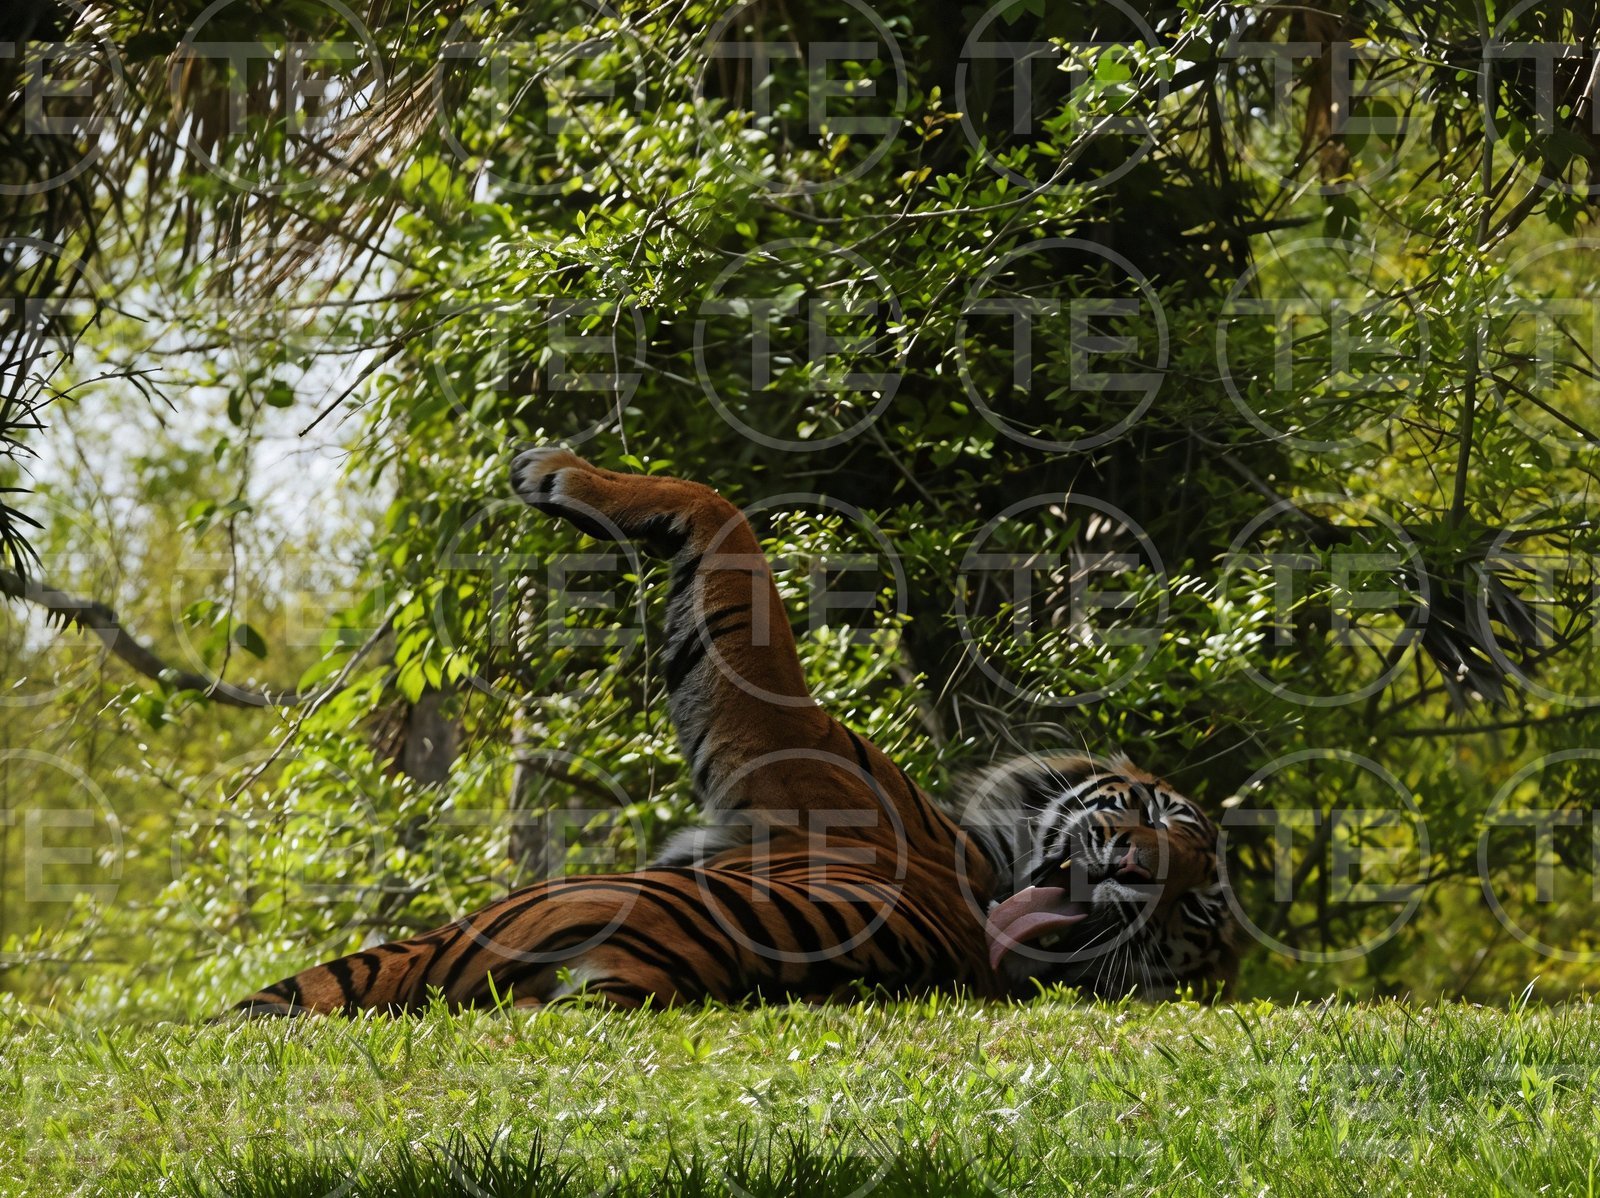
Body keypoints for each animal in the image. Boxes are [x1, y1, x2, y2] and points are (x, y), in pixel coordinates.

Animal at [230, 450, 1236, 1015]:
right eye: (1158, 821)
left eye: (1191, 904)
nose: (1137, 867)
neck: (980, 870)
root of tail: (640, 978)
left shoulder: (773, 730)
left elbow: (726, 530)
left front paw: (554, 473)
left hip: (470, 929)